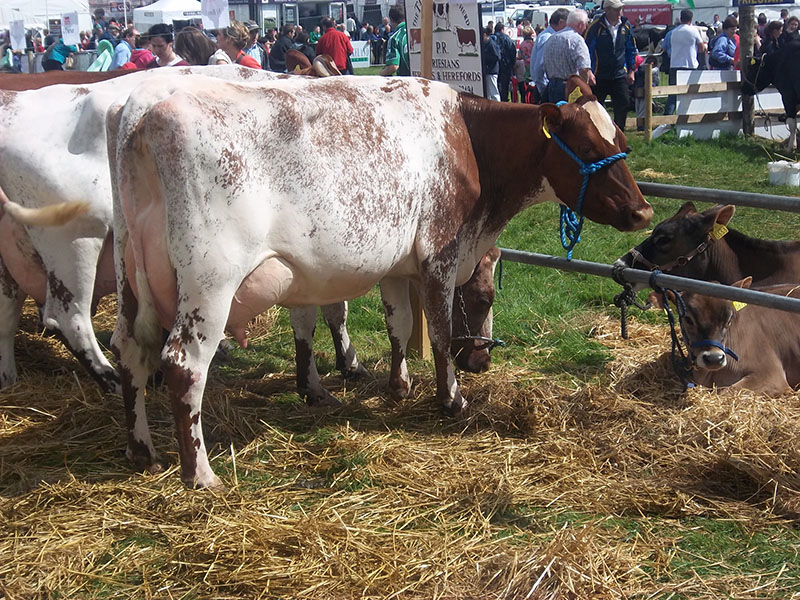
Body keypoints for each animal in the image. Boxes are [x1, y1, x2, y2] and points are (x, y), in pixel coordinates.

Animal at [109, 75, 652, 488]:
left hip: (130, 279)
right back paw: (201, 475)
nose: (642, 211)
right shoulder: (439, 254)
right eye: (587, 146)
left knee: (130, 350)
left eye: (623, 145)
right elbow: (439, 332)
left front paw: (399, 385)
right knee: (183, 364)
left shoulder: (396, 265)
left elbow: (399, 325)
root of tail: (144, 108)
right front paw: (452, 399)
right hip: (210, 282)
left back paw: (140, 449)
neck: (468, 138)